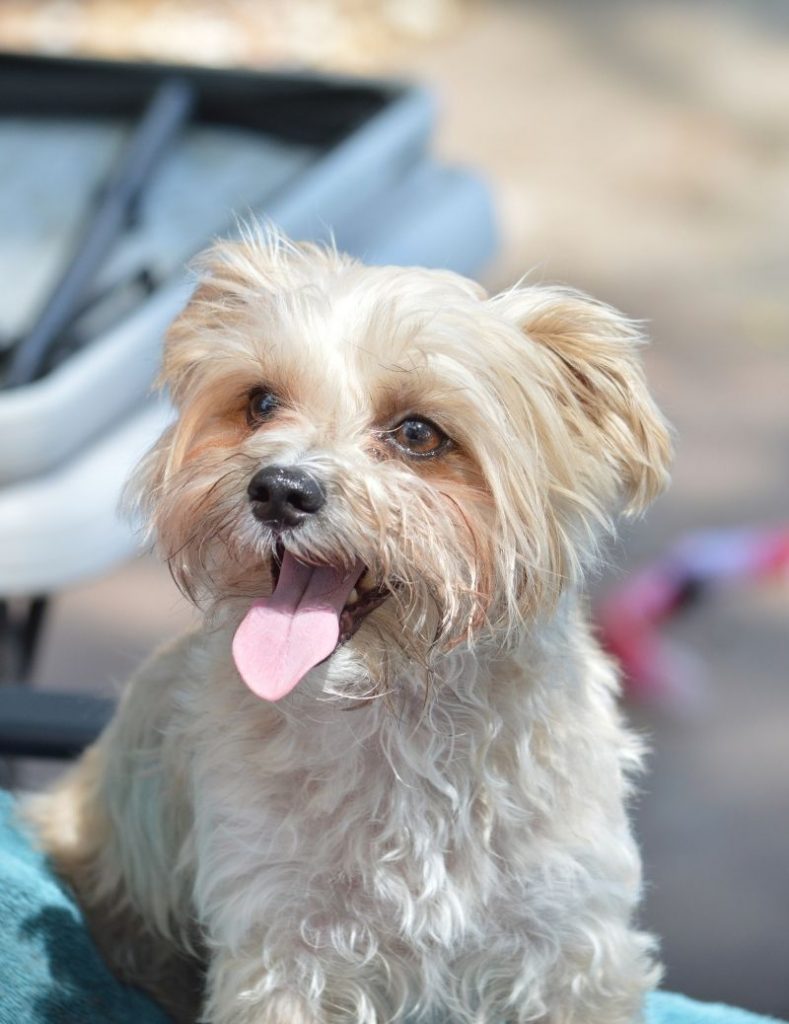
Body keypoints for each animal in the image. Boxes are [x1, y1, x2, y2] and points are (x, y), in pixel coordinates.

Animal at [29, 232, 671, 1024]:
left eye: (418, 433)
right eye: (260, 402)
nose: (278, 489)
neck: (399, 721)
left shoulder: (569, 949)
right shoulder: (286, 951)